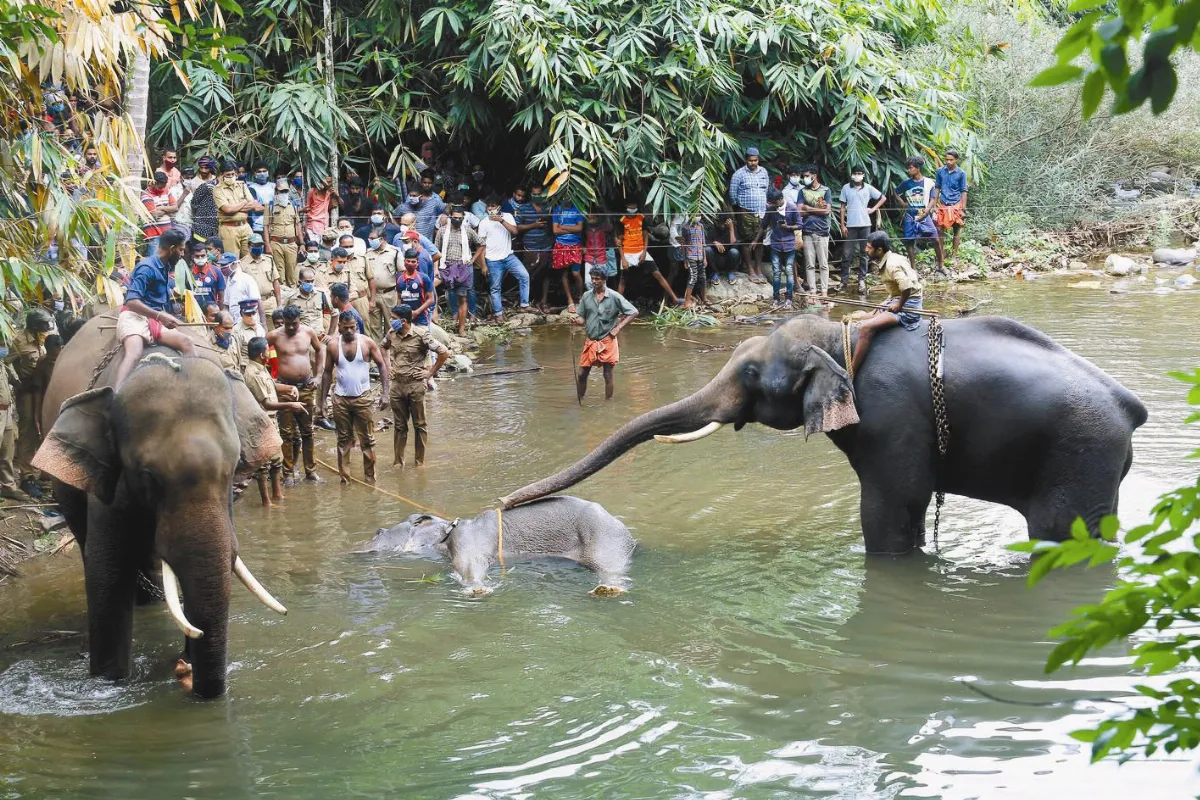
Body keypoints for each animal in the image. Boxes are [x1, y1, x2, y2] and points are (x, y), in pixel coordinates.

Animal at [31, 314, 287, 698]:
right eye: (147, 477)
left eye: (232, 469)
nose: (186, 673)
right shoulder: (113, 481)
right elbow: (108, 575)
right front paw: (109, 683)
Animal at [364, 496, 636, 595]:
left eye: (378, 532)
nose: (376, 530)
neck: (449, 528)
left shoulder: (469, 540)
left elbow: (469, 564)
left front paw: (477, 590)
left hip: (603, 538)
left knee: (609, 566)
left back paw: (607, 590)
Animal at [501, 315, 1148, 555]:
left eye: (752, 374)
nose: (504, 503)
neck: (845, 334)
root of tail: (1129, 407)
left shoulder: (892, 417)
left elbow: (891, 506)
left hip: (1080, 451)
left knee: (1063, 532)